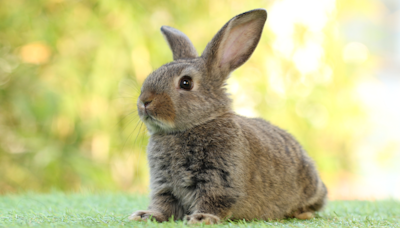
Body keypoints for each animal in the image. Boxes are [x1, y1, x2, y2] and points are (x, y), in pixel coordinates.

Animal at [130, 8, 326, 224]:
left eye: (186, 83)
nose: (145, 101)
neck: (194, 125)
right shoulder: (164, 184)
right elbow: (163, 205)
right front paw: (145, 215)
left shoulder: (220, 179)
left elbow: (213, 200)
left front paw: (201, 218)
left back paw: (301, 213)